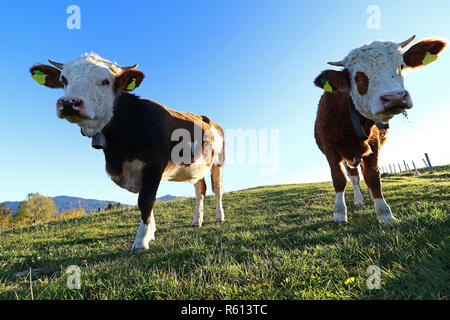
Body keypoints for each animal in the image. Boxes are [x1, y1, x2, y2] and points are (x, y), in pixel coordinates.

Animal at [29, 53, 225, 251]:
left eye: (106, 81)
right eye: (64, 80)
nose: (69, 103)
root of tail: (208, 119)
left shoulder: (155, 165)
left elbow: (146, 200)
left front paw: (141, 241)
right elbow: (147, 201)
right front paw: (151, 233)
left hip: (218, 162)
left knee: (217, 189)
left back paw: (219, 217)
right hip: (197, 166)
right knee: (200, 190)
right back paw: (197, 221)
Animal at [312, 35, 446, 224]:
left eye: (401, 66)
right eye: (357, 77)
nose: (395, 97)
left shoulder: (374, 145)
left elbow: (373, 177)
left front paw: (384, 213)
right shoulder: (331, 149)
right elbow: (339, 179)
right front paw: (339, 214)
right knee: (353, 176)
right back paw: (359, 200)